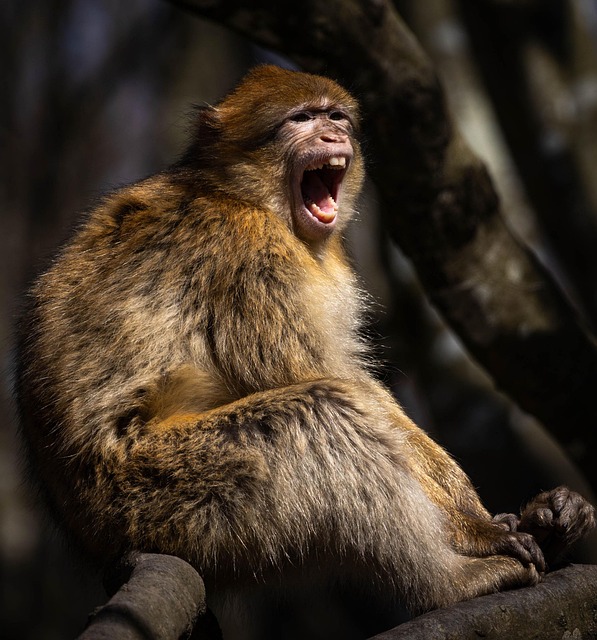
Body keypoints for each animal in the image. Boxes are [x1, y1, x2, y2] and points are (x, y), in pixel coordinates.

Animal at [16, 65, 595, 638]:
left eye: (335, 115)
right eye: (301, 119)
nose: (333, 136)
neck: (246, 198)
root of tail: (95, 541)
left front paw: (529, 516)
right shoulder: (249, 255)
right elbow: (339, 389)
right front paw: (476, 529)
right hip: (163, 498)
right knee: (320, 413)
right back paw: (450, 581)